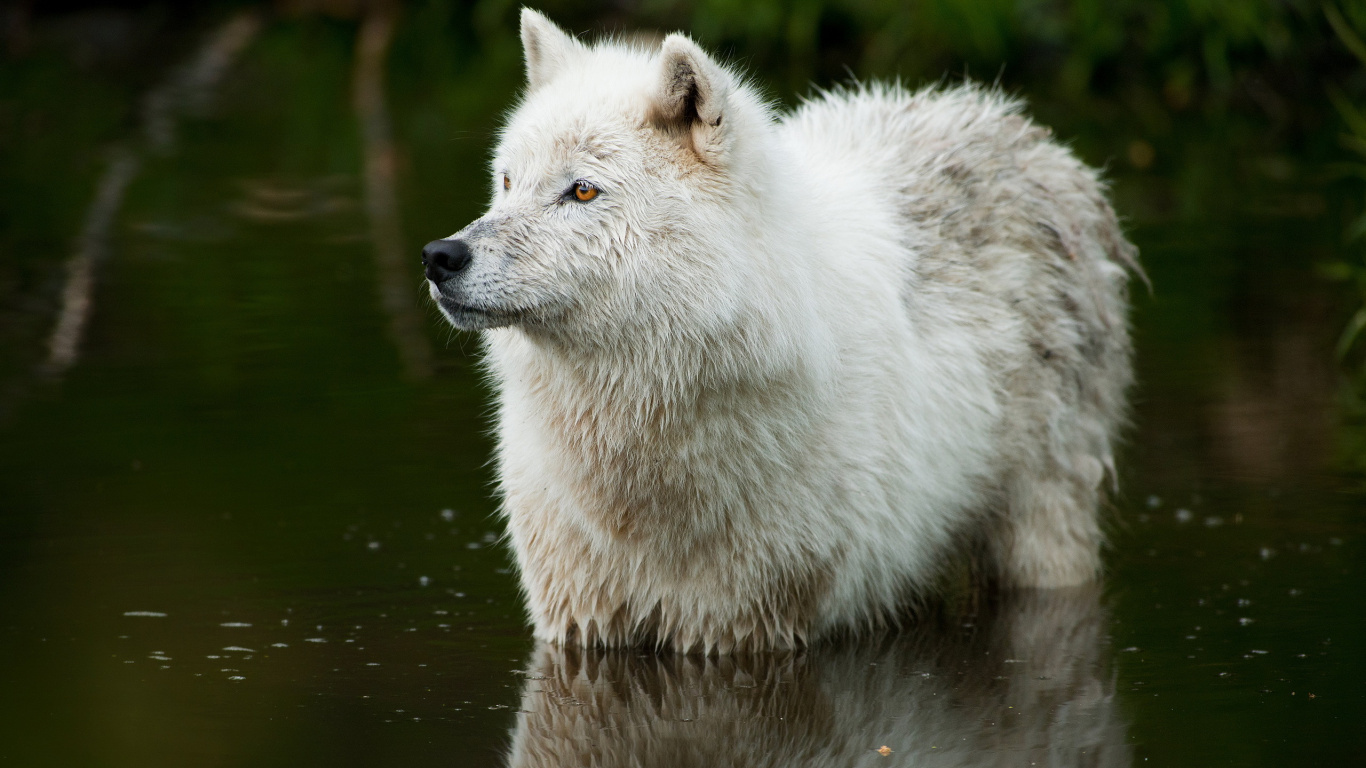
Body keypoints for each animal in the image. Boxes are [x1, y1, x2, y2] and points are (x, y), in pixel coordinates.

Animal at [426, 8, 1141, 647]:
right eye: (507, 182)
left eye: (581, 191)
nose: (441, 257)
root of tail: (1019, 127)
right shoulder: (578, 618)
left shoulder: (753, 624)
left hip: (1042, 537)